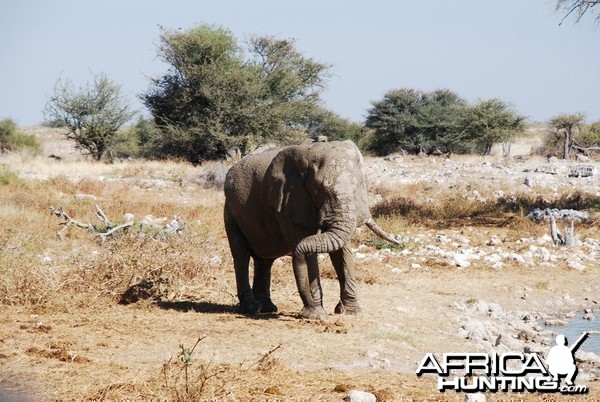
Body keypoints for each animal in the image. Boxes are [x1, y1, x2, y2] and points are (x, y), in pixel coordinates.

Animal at [221, 140, 398, 318]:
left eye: (358, 187)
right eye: (317, 190)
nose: (397, 240)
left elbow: (342, 252)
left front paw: (351, 312)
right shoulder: (288, 202)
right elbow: (307, 250)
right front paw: (315, 316)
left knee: (264, 260)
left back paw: (267, 308)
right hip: (230, 211)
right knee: (241, 255)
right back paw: (252, 307)